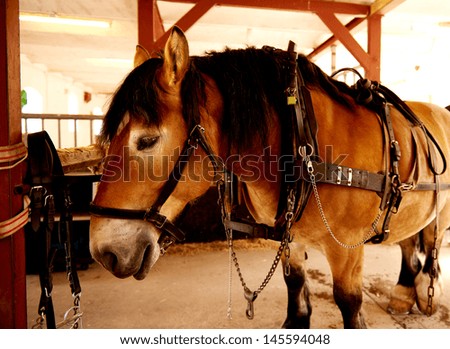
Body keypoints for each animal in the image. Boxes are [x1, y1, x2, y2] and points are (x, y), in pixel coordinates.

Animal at [89, 26, 450, 326]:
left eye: (147, 140)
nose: (104, 253)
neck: (301, 143)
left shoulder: (347, 248)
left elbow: (349, 304)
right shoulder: (293, 238)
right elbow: (295, 288)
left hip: (440, 216)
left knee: (430, 249)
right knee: (408, 243)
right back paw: (404, 294)